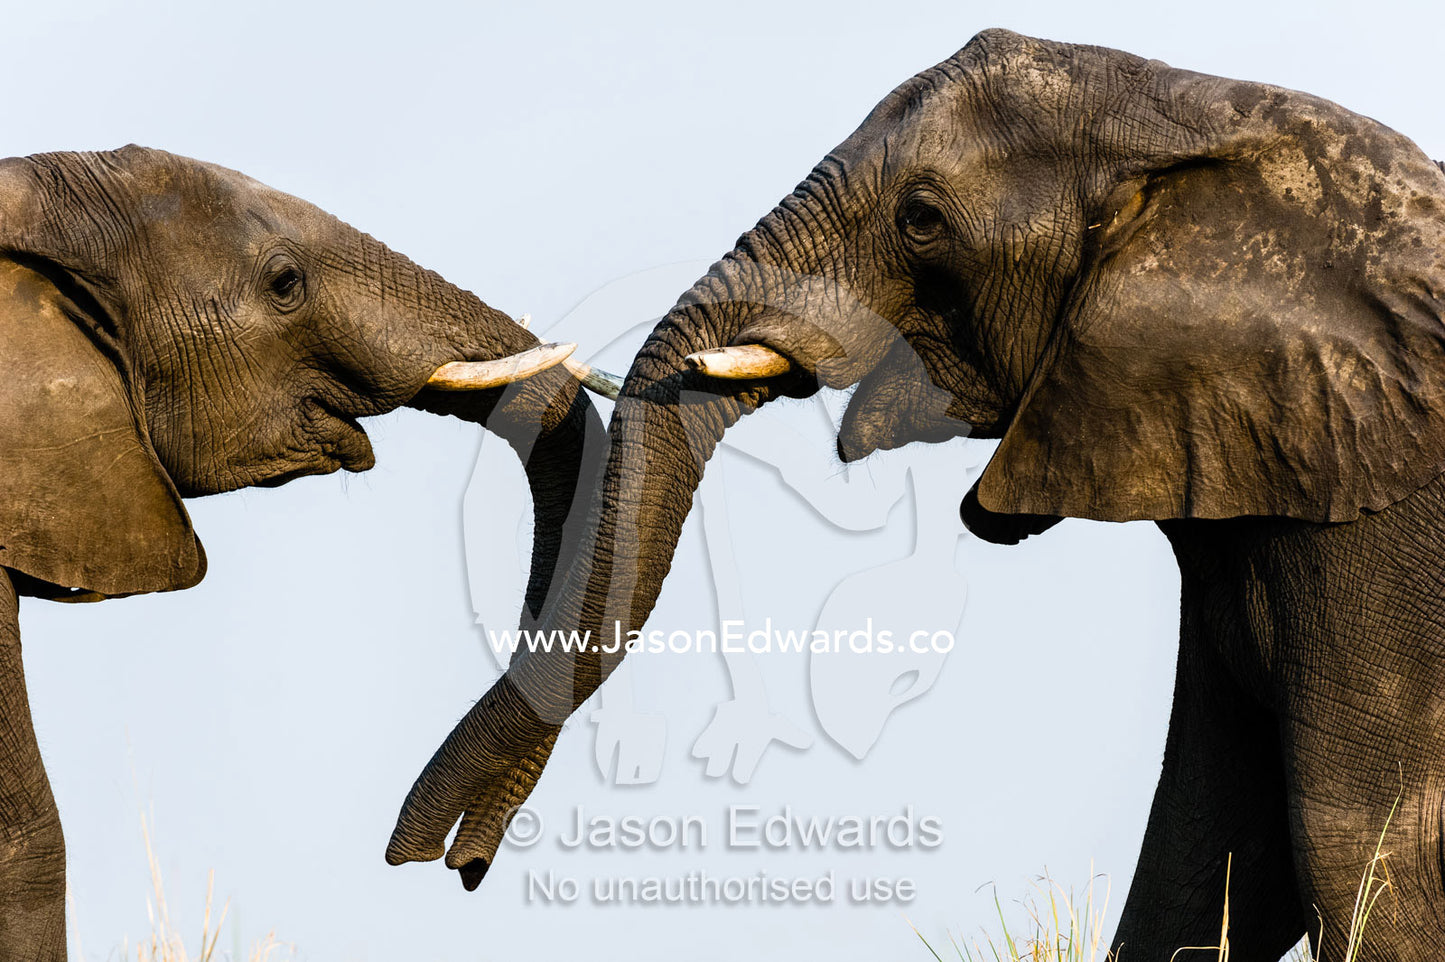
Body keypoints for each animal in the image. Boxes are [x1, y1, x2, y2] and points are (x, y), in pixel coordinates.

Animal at [387, 29, 1445, 960]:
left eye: (923, 219)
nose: (450, 866)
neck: (1206, 119)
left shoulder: (1374, 547)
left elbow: (1356, 859)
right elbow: (1210, 852)